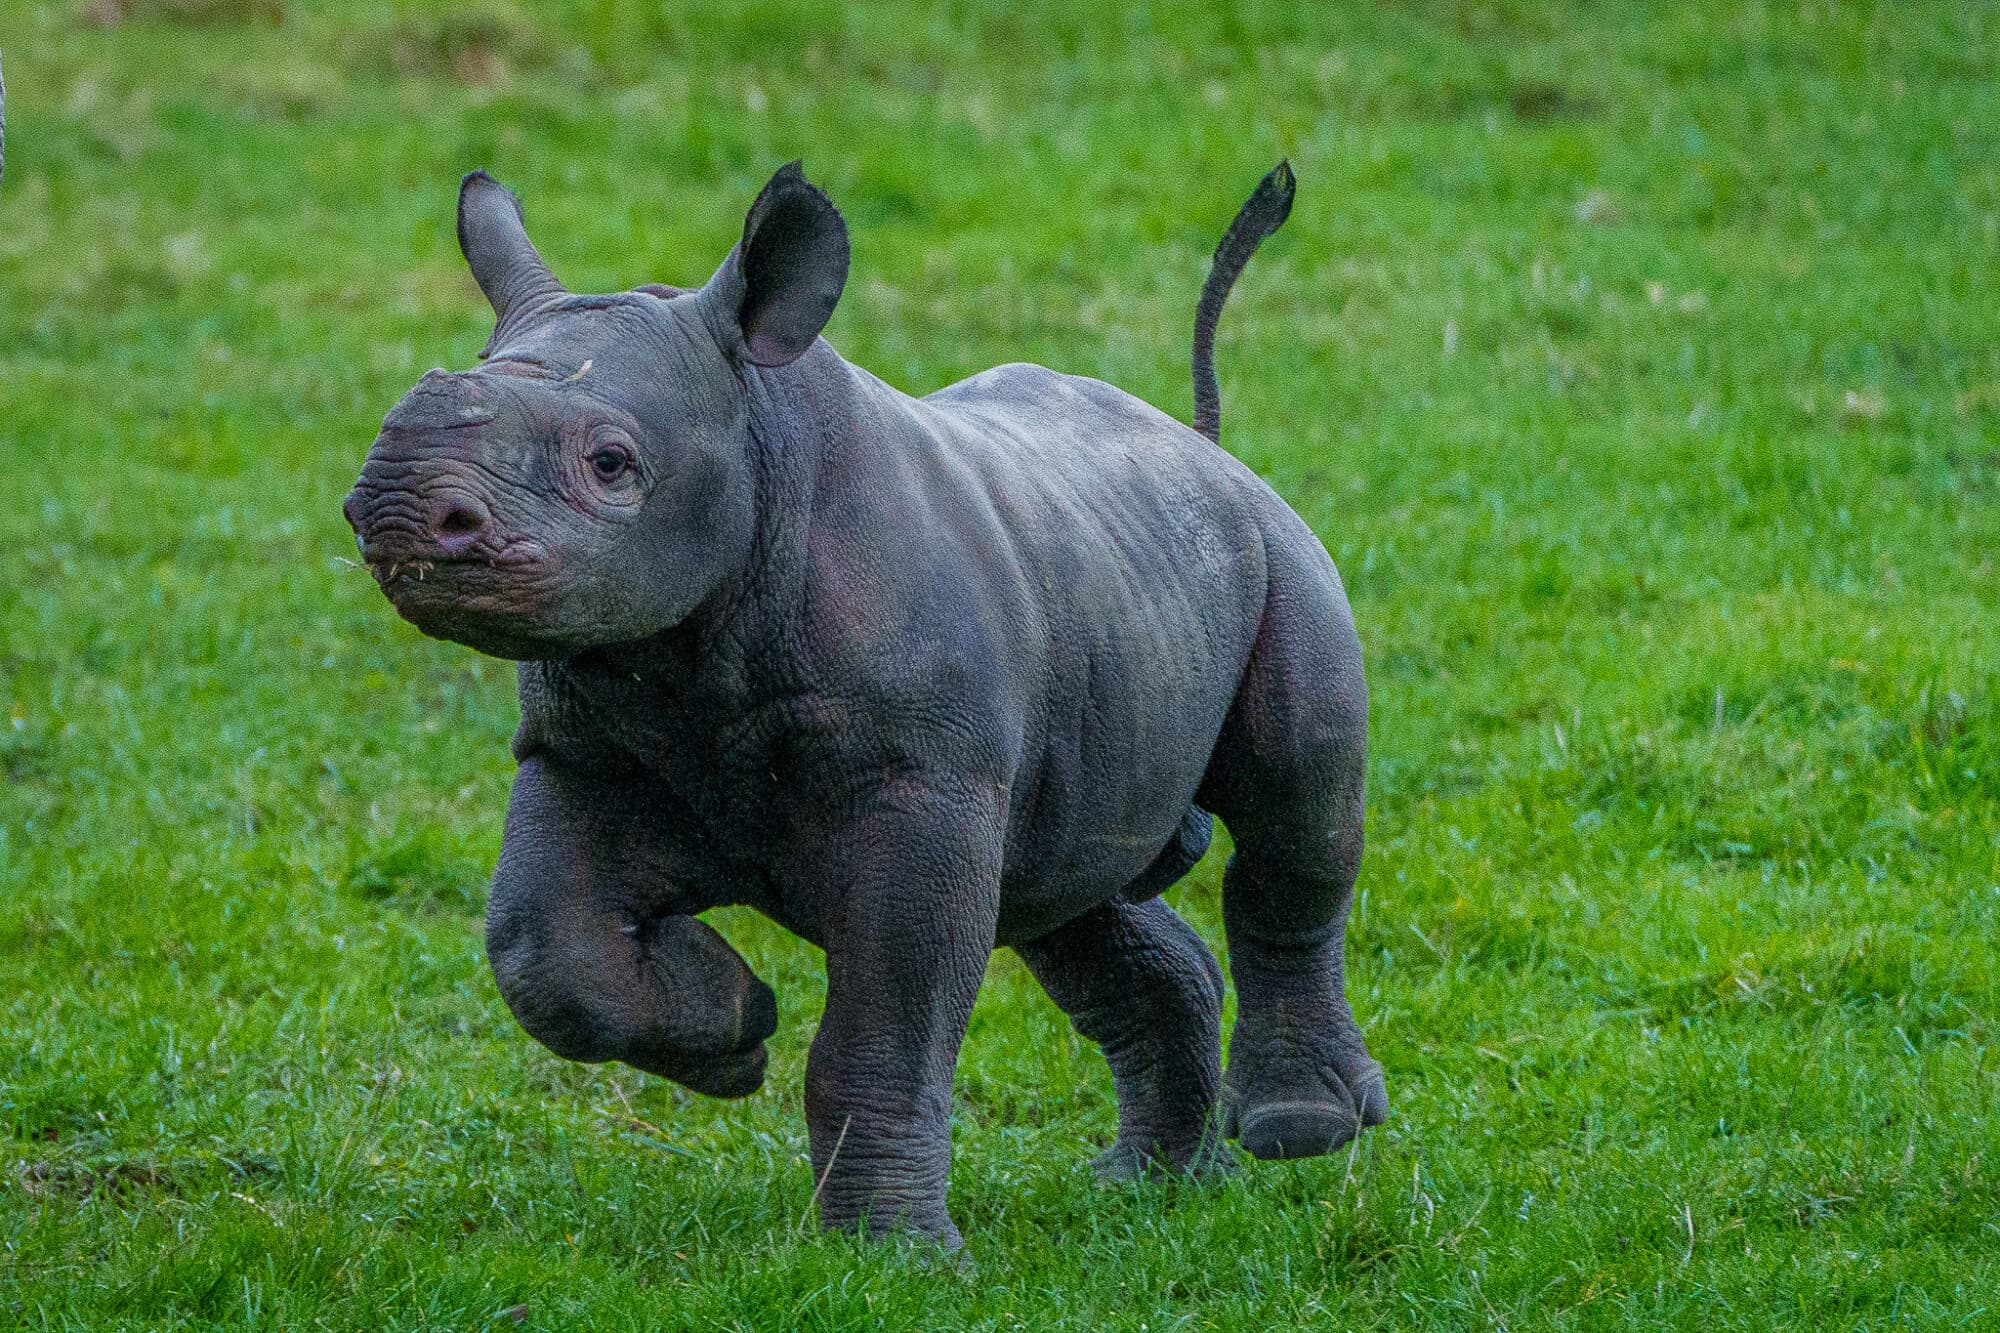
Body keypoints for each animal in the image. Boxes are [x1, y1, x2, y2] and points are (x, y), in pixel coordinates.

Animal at [344, 158, 1383, 1250]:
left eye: (611, 463)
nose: (397, 507)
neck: (754, 432)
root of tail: (1202, 449)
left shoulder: (922, 775)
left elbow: (888, 1016)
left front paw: (892, 1255)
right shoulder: (583, 747)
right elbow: (544, 947)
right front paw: (735, 1030)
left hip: (1278, 552)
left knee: (1294, 810)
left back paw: (1298, 1129)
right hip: (1111, 585)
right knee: (1066, 892)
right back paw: (1149, 1187)